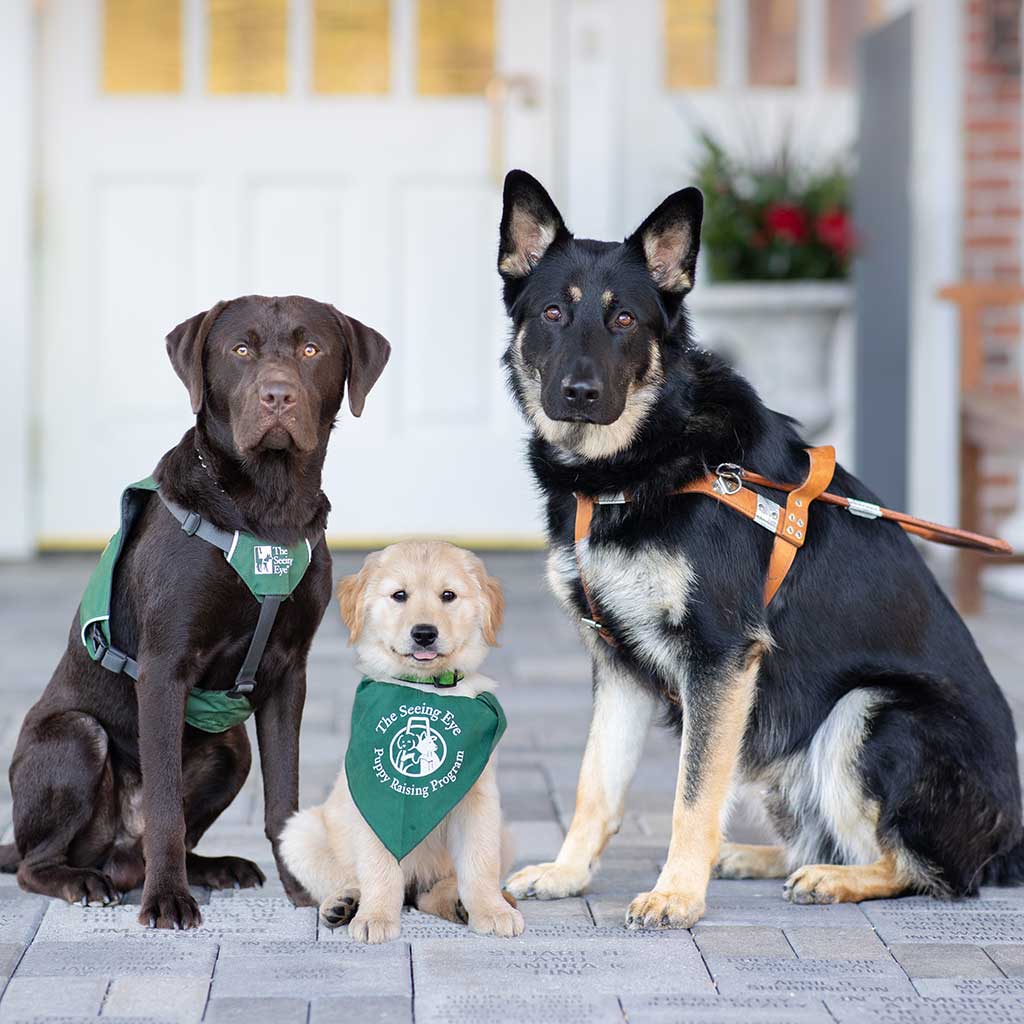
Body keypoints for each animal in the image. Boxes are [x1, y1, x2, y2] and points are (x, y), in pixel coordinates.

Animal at [278, 540, 524, 946]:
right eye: (399, 595)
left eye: (448, 596)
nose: (424, 633)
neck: (426, 690)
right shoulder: (374, 801)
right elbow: (379, 867)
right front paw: (375, 917)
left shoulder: (479, 801)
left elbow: (480, 864)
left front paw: (491, 911)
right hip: (299, 833)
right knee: (340, 877)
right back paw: (344, 903)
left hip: (504, 833)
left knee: (433, 891)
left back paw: (458, 903)